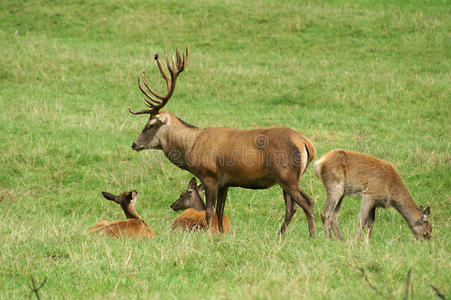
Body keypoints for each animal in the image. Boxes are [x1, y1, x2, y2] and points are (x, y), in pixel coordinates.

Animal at [127, 45, 318, 236]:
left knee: (307, 202)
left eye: (151, 124)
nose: (134, 144)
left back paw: (312, 235)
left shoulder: (210, 175)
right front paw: (220, 233)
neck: (191, 146)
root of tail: (306, 144)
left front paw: (208, 234)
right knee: (291, 207)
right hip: (288, 178)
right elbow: (220, 210)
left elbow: (209, 210)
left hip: (287, 175)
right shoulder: (225, 182)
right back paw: (281, 234)